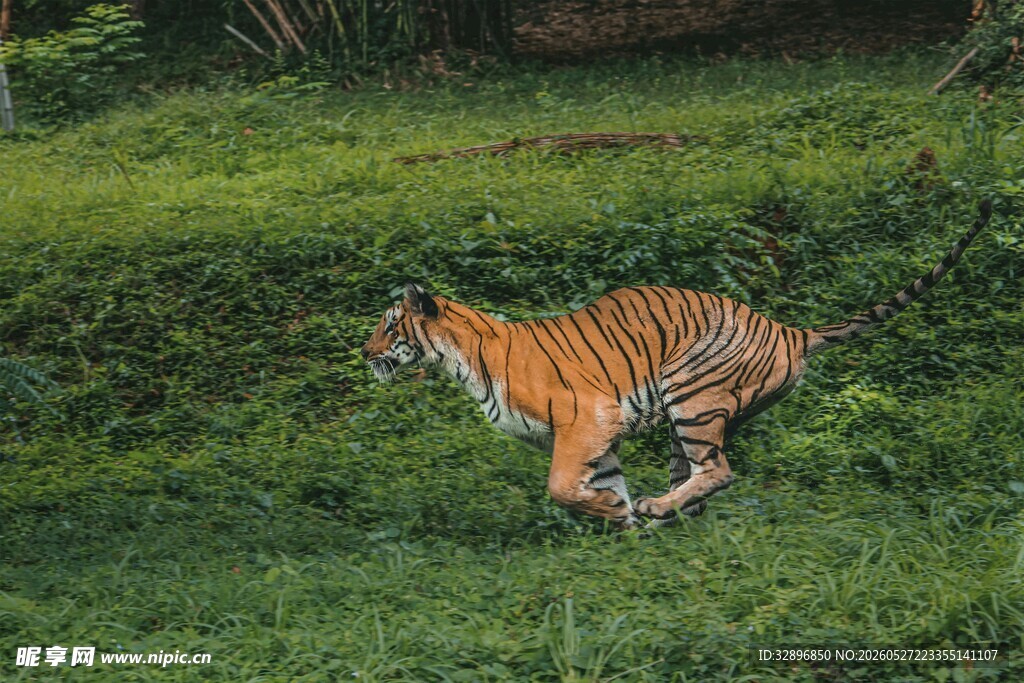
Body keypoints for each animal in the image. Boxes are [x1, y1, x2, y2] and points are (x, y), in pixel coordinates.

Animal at [361, 200, 992, 530]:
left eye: (390, 325)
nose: (365, 354)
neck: (463, 359)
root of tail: (789, 329)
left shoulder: (586, 419)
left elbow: (561, 486)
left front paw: (618, 513)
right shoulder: (600, 438)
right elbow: (600, 482)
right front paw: (620, 520)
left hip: (692, 398)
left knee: (718, 471)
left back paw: (658, 509)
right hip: (684, 419)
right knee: (697, 480)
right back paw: (663, 515)